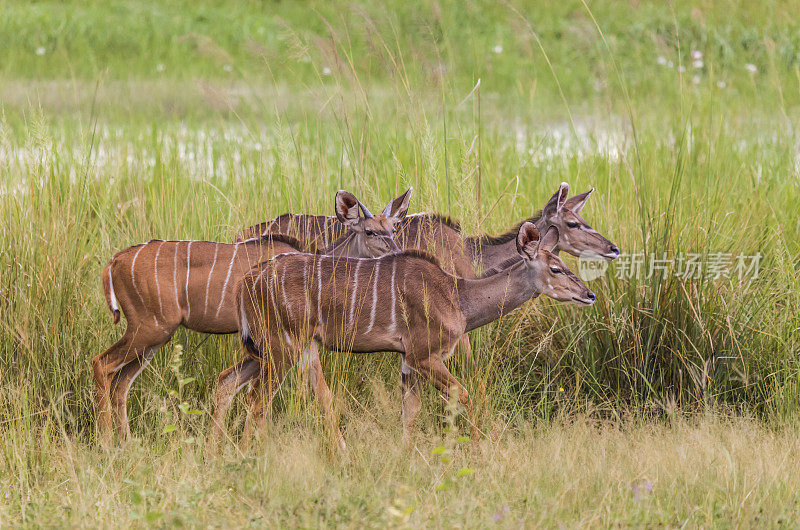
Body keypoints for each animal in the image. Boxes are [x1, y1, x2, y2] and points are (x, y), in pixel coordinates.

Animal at [92, 188, 412, 440]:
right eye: (370, 231)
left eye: (393, 229)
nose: (395, 252)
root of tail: (114, 261)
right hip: (150, 327)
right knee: (102, 364)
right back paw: (107, 443)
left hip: (155, 338)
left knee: (121, 381)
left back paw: (126, 443)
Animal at [209, 222, 596, 446]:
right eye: (556, 268)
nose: (589, 294)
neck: (457, 297)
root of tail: (248, 281)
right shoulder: (425, 356)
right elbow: (463, 395)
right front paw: (477, 449)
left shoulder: (409, 362)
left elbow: (410, 412)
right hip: (283, 348)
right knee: (257, 399)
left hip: (272, 349)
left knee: (227, 382)